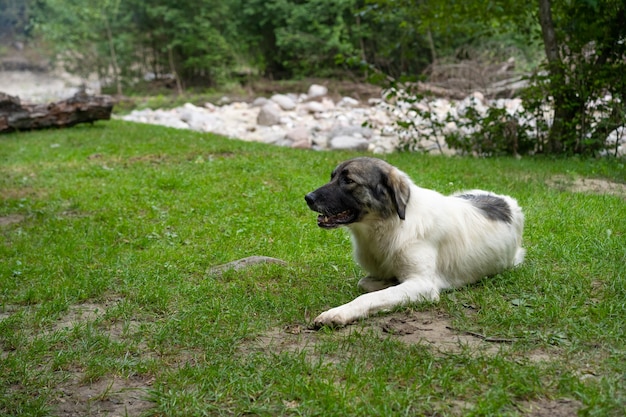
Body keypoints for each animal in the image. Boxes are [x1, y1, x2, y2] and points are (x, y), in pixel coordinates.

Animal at [302, 158, 520, 326]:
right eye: (332, 176)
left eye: (348, 180)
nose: (307, 197)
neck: (392, 224)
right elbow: (365, 283)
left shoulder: (423, 284)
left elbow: (370, 296)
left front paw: (338, 312)